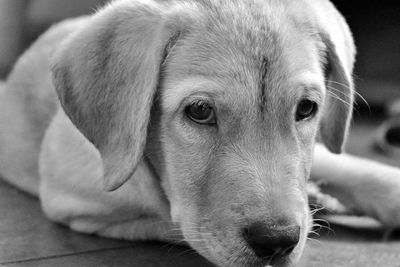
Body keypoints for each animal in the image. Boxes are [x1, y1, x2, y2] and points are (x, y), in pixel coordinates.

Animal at [0, 0, 400, 267]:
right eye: (200, 111)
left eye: (305, 109)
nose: (277, 241)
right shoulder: (80, 202)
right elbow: (176, 221)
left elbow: (348, 167)